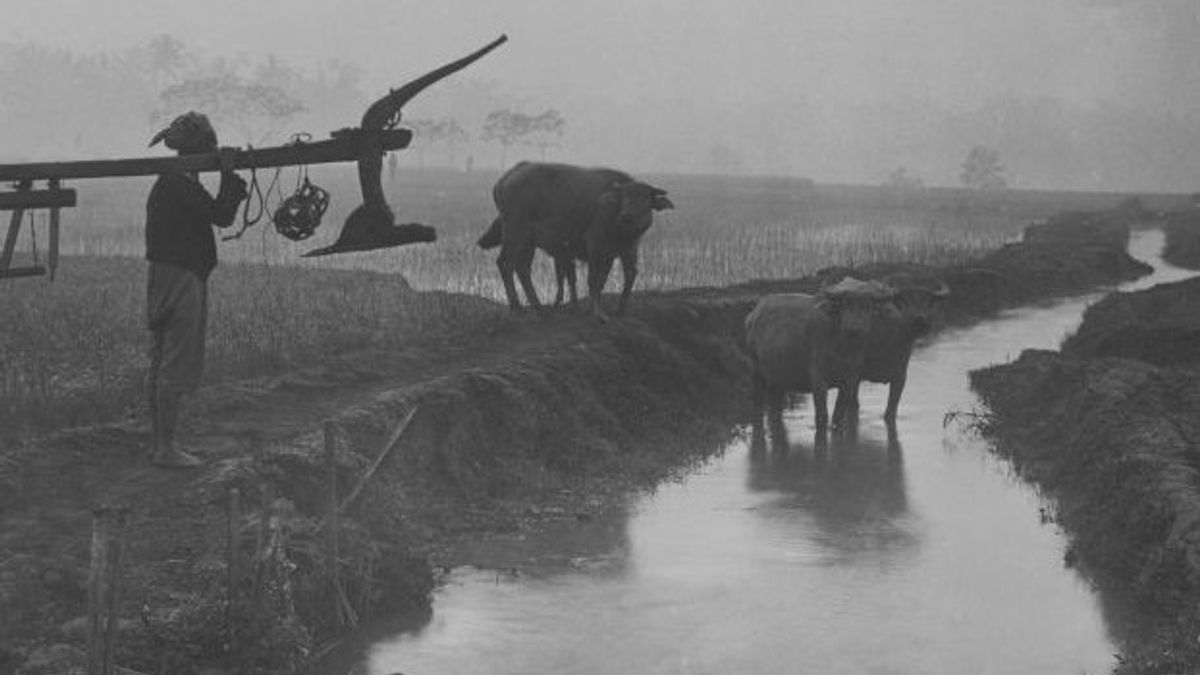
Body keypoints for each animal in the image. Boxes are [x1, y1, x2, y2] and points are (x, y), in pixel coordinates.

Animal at [472, 162, 672, 319]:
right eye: (624, 198)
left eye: (645, 199)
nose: (626, 216)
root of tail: (506, 178)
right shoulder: (595, 246)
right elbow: (592, 279)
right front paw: (597, 313)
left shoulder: (625, 250)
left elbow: (626, 276)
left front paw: (619, 309)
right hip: (516, 235)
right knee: (505, 263)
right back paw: (517, 306)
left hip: (528, 242)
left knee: (522, 268)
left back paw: (537, 307)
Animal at [830, 271, 950, 420]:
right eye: (904, 301)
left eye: (928, 301)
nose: (920, 319)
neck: (889, 343)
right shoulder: (855, 377)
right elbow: (854, 407)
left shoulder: (900, 378)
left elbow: (890, 412)